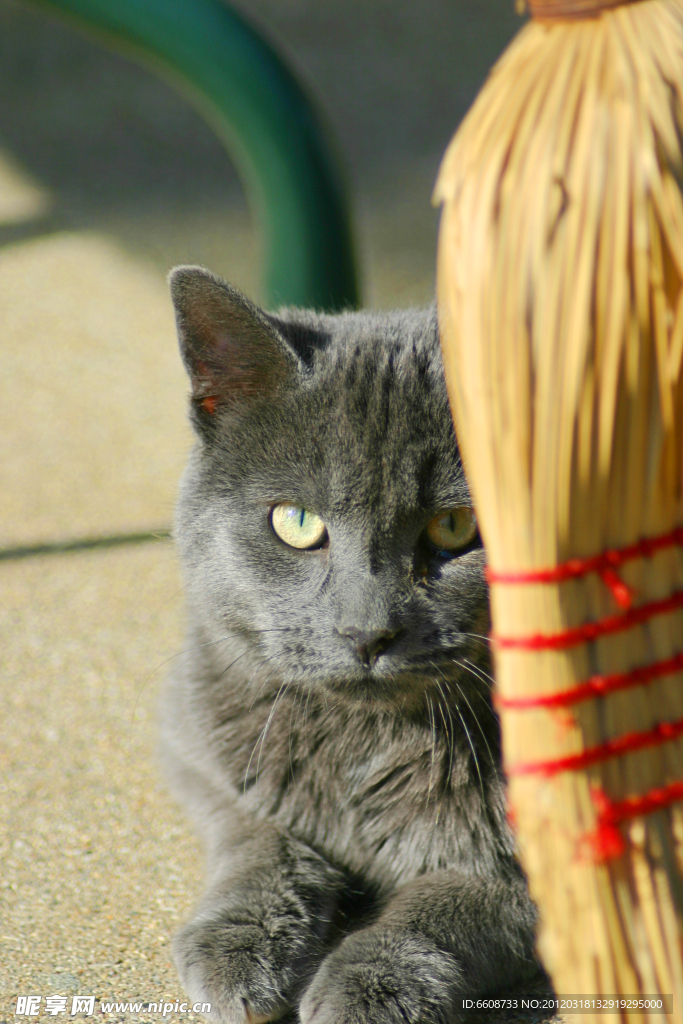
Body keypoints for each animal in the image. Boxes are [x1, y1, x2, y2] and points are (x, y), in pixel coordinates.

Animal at [161, 268, 548, 1019]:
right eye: (296, 522)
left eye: (456, 526)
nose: (366, 631)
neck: (368, 743)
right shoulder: (195, 744)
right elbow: (254, 832)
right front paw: (237, 940)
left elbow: (458, 901)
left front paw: (369, 981)